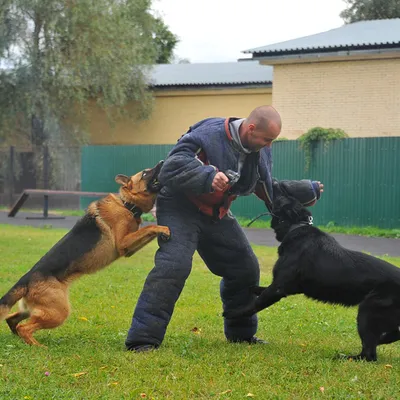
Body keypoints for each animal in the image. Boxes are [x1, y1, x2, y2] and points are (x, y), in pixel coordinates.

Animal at [223, 192, 400, 360]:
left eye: (284, 198)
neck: (295, 226)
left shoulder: (278, 288)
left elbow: (255, 305)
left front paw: (233, 313)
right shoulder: (287, 287)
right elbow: (260, 291)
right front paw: (253, 288)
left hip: (367, 312)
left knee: (369, 354)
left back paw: (346, 357)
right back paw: (382, 340)